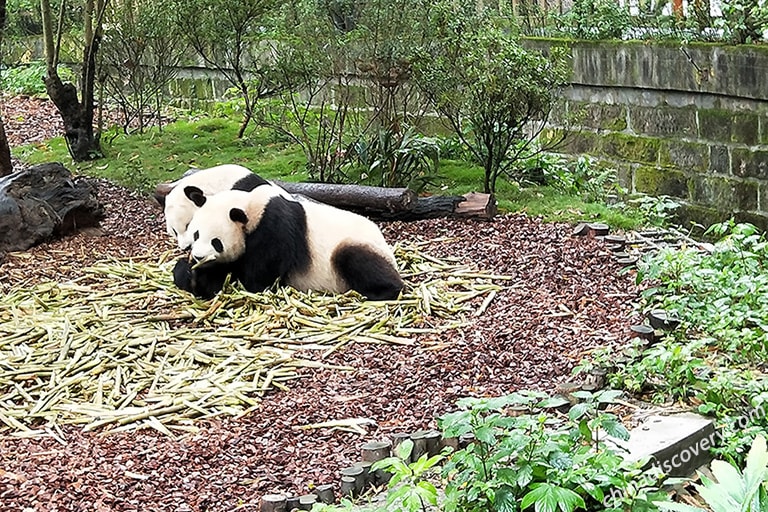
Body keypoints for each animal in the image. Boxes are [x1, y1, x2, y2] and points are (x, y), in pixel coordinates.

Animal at [171, 186, 404, 300]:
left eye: (216, 242)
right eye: (196, 234)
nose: (199, 256)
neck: (253, 207)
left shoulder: (275, 230)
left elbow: (256, 280)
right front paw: (189, 272)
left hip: (353, 245)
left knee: (357, 259)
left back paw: (380, 292)